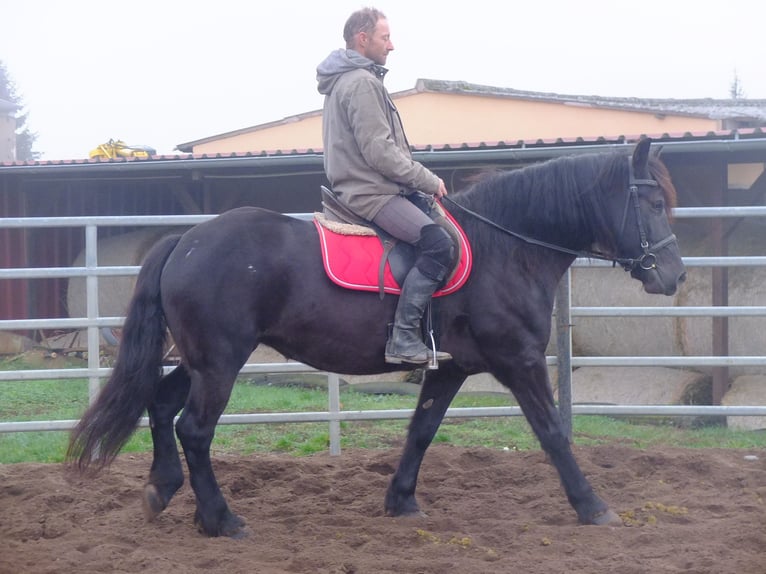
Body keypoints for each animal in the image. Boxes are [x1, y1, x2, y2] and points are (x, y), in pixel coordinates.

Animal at [69, 140, 688, 540]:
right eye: (653, 203)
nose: (675, 276)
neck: (504, 249)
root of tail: (187, 239)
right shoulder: (520, 360)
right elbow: (554, 433)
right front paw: (593, 507)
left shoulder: (449, 367)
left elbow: (421, 431)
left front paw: (402, 502)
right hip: (222, 361)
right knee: (194, 429)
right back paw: (222, 520)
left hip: (201, 358)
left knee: (160, 405)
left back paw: (165, 492)